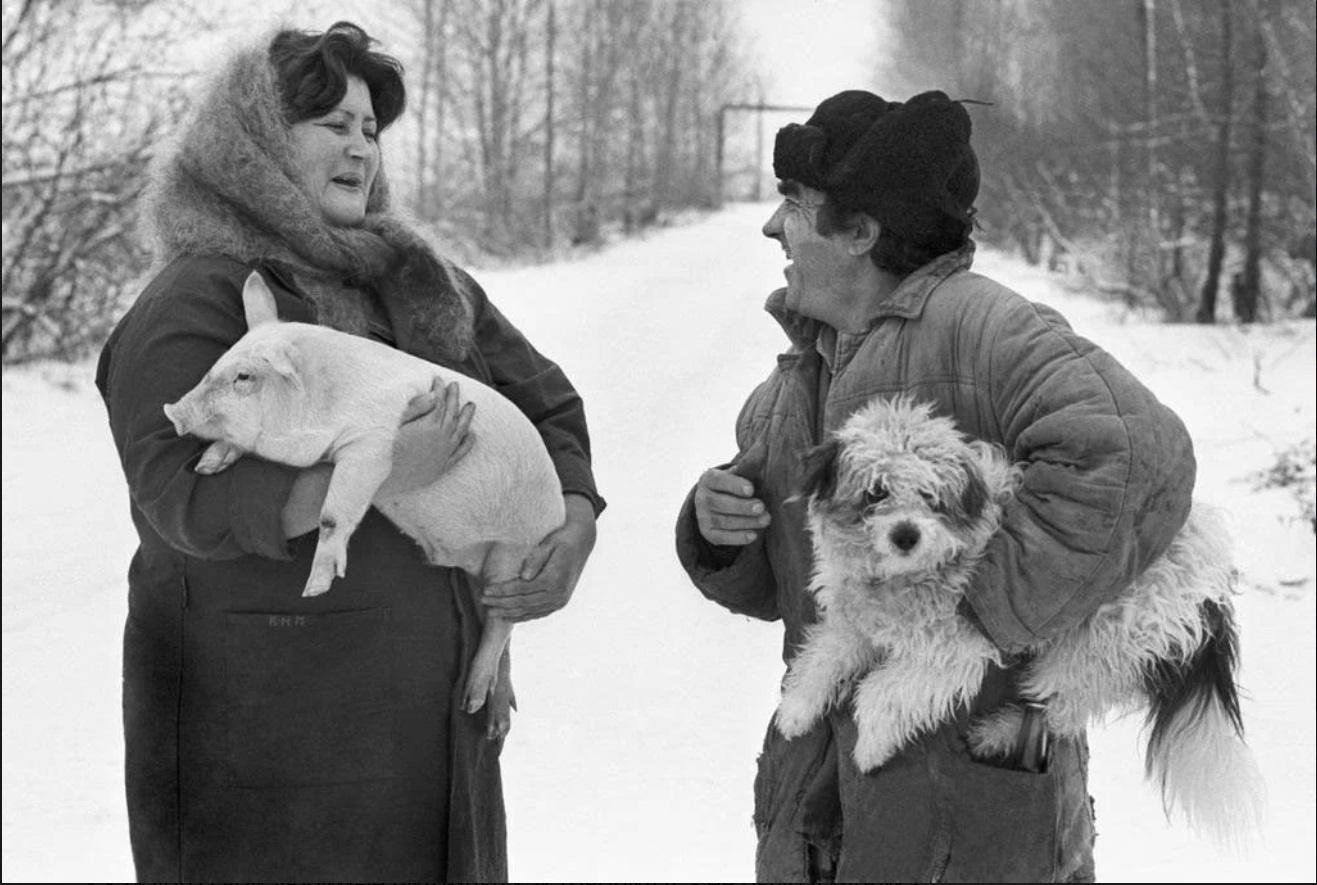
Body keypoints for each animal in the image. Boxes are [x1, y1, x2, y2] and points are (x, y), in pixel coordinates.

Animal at [163, 271, 566, 737]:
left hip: (516, 552)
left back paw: (473, 702)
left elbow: (334, 512)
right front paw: (208, 465)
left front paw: (315, 587)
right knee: (498, 630)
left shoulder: (370, 447)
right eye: (217, 363)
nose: (172, 410)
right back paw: (494, 715)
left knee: (502, 623)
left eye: (244, 377)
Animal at [774, 395, 1269, 842]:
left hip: (1095, 644)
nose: (906, 535)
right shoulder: (855, 620)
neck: (902, 578)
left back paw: (997, 732)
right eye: (875, 492)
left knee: (1058, 708)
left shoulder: (953, 650)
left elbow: (881, 692)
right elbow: (822, 657)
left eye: (931, 496)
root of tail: (1209, 588)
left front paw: (871, 746)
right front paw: (796, 710)